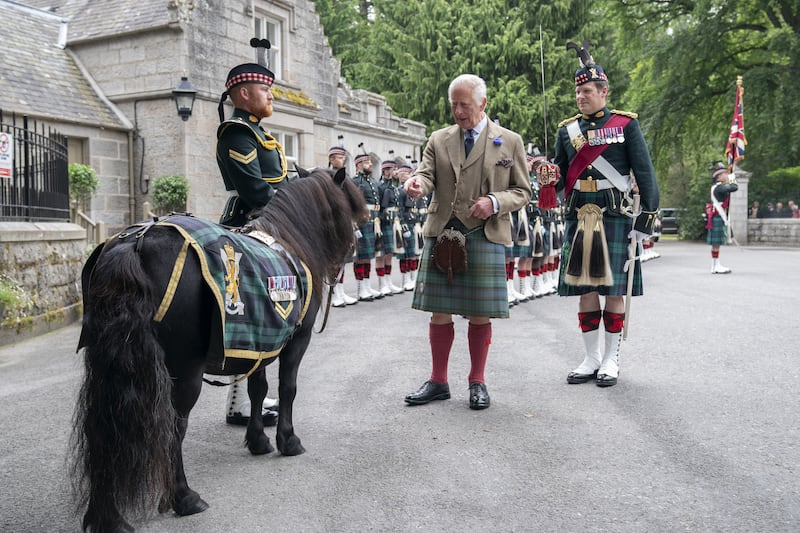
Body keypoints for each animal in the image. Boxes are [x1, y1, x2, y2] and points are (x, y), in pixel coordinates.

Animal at [70, 168, 368, 528]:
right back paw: (184, 497)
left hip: (107, 368)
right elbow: (288, 388)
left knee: (102, 429)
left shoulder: (260, 341)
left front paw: (258, 439)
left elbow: (257, 388)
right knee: (173, 428)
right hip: (184, 372)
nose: (355, 244)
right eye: (348, 202)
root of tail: (136, 241)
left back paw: (105, 515)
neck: (290, 239)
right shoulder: (296, 340)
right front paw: (288, 440)